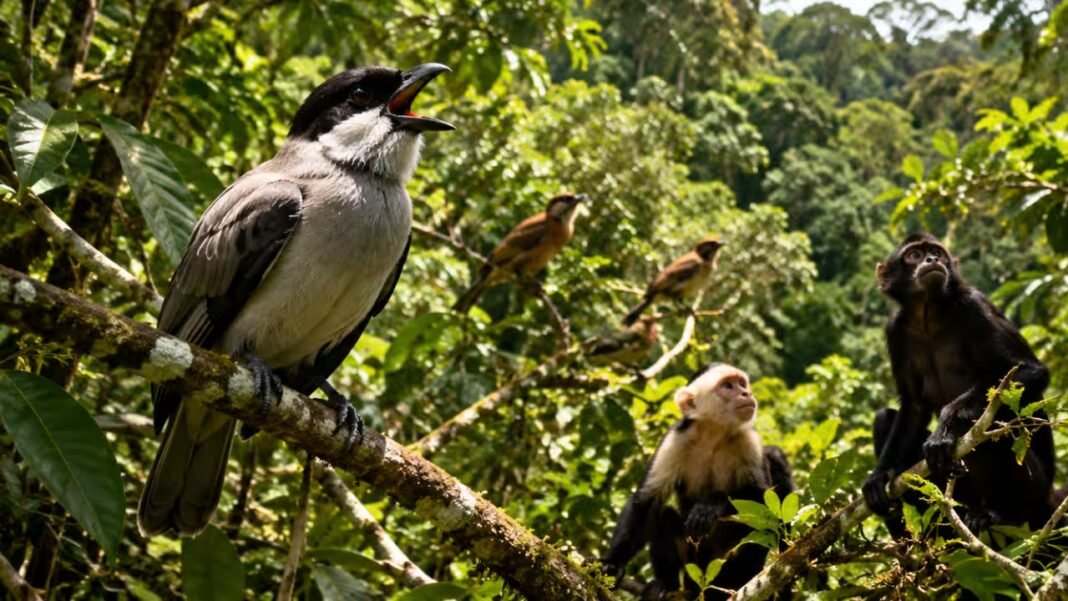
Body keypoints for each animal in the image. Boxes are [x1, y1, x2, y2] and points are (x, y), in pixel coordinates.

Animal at [601, 363, 794, 600]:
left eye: (742, 384)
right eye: (728, 386)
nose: (746, 393)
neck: (713, 434)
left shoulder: (749, 439)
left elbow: (762, 504)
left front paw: (711, 504)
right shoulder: (674, 439)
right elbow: (644, 501)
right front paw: (612, 563)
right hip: (692, 566)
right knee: (663, 514)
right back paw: (666, 584)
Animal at [862, 233, 1055, 534]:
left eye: (936, 252)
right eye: (914, 255)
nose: (932, 260)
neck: (928, 314)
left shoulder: (975, 306)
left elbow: (1031, 370)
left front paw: (947, 425)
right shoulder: (896, 329)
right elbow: (913, 406)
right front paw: (880, 475)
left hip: (1035, 490)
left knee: (995, 425)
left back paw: (996, 513)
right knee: (884, 418)